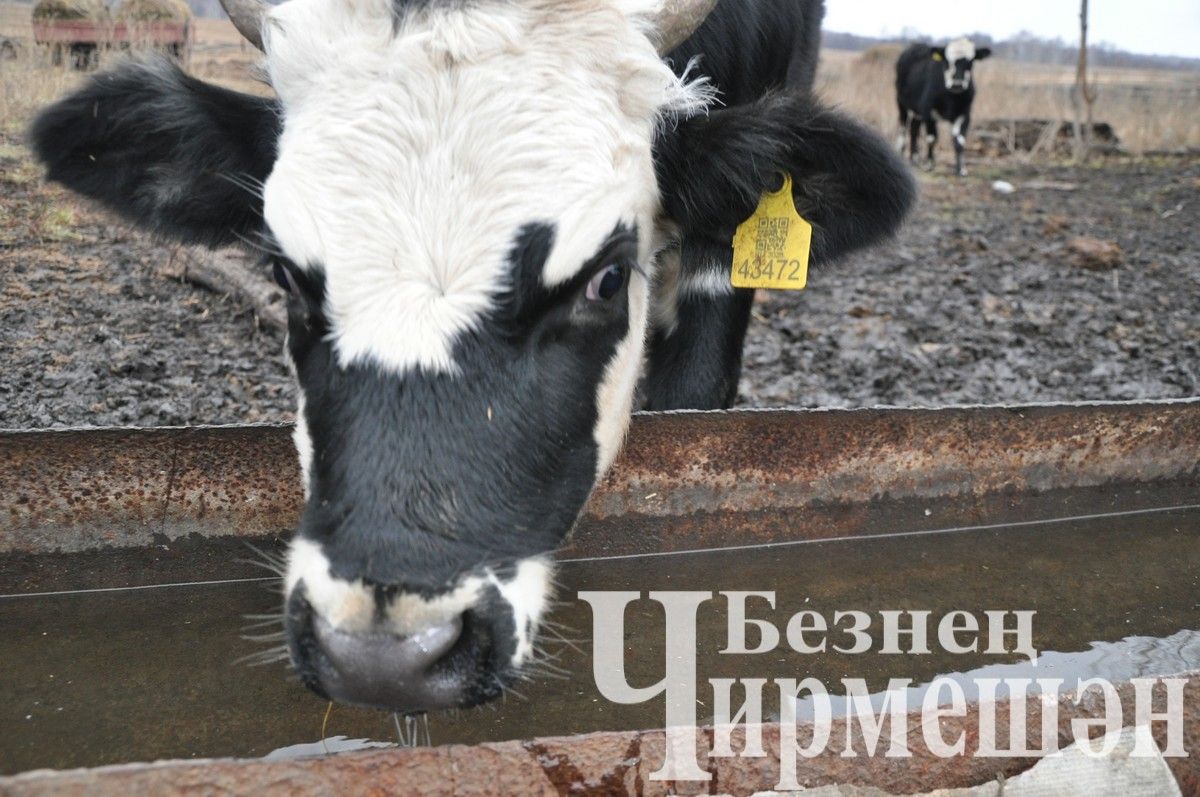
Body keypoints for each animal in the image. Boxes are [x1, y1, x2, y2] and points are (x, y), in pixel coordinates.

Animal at [897, 38, 988, 176]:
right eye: (947, 61)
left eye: (970, 62)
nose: (957, 84)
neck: (951, 98)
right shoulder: (928, 112)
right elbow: (931, 138)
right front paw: (930, 164)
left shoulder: (965, 114)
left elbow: (960, 141)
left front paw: (961, 169)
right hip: (901, 103)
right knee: (903, 128)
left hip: (917, 110)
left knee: (914, 129)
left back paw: (914, 158)